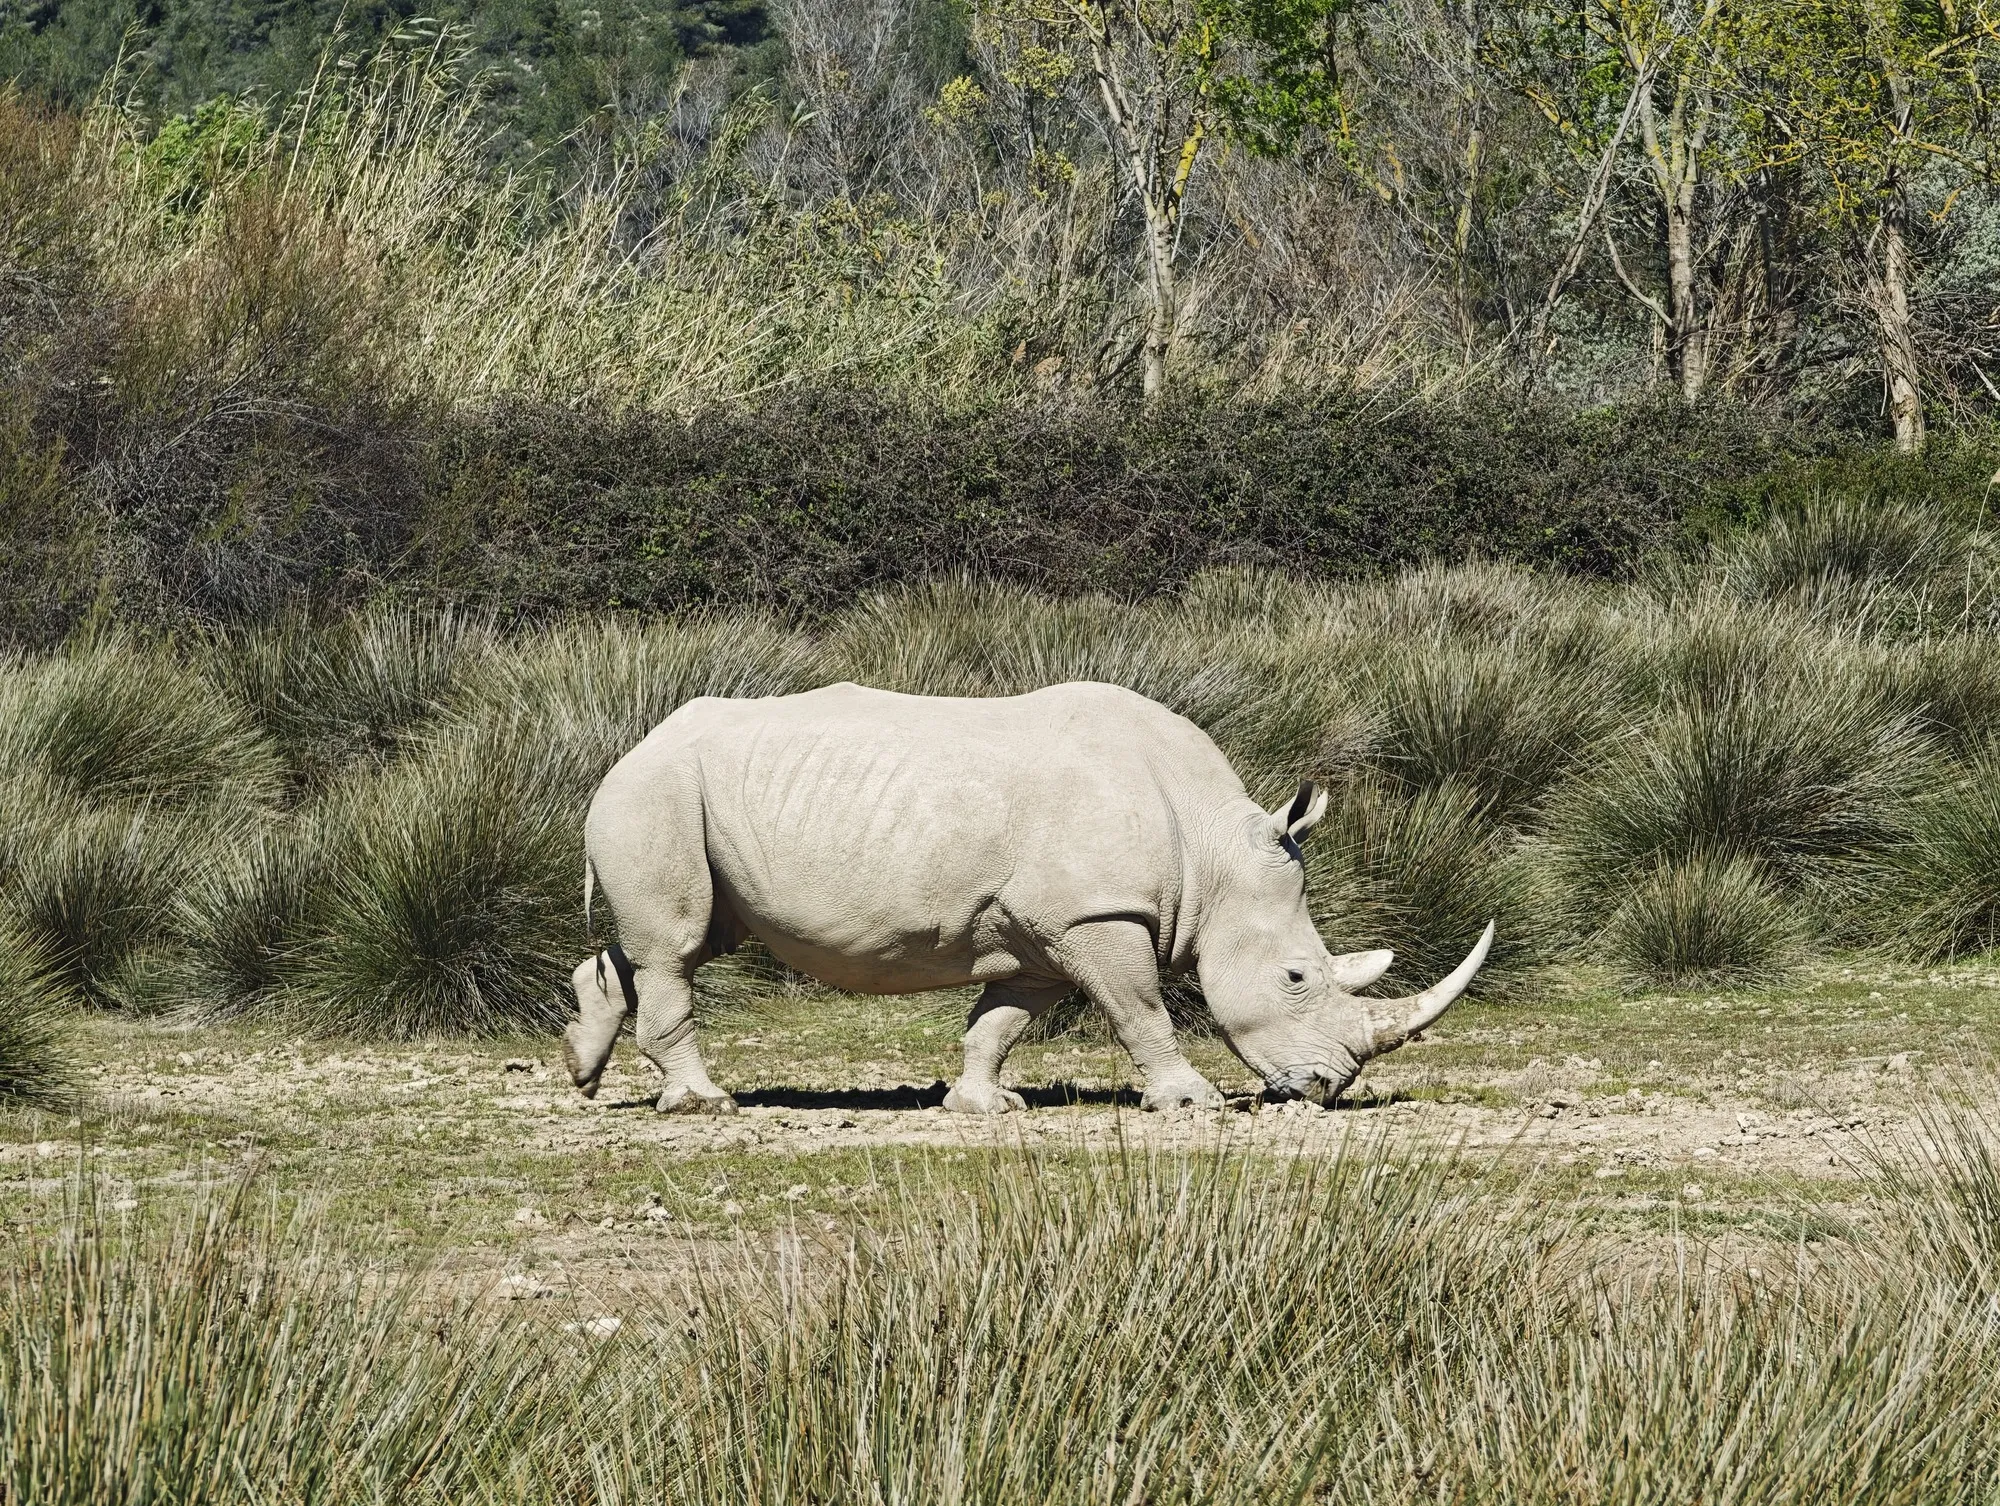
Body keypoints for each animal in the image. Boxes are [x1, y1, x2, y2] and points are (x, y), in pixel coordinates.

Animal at [563, 681, 1494, 1114]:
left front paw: (983, 1105)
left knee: (679, 940)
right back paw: (703, 1103)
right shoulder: (1101, 913)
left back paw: (582, 1068)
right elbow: (1141, 1009)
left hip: (685, 800)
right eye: (1297, 979)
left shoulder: (1046, 934)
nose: (1325, 1088)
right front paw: (1188, 1101)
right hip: (660, 790)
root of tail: (631, 747)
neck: (1212, 851)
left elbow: (1002, 1021)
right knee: (677, 947)